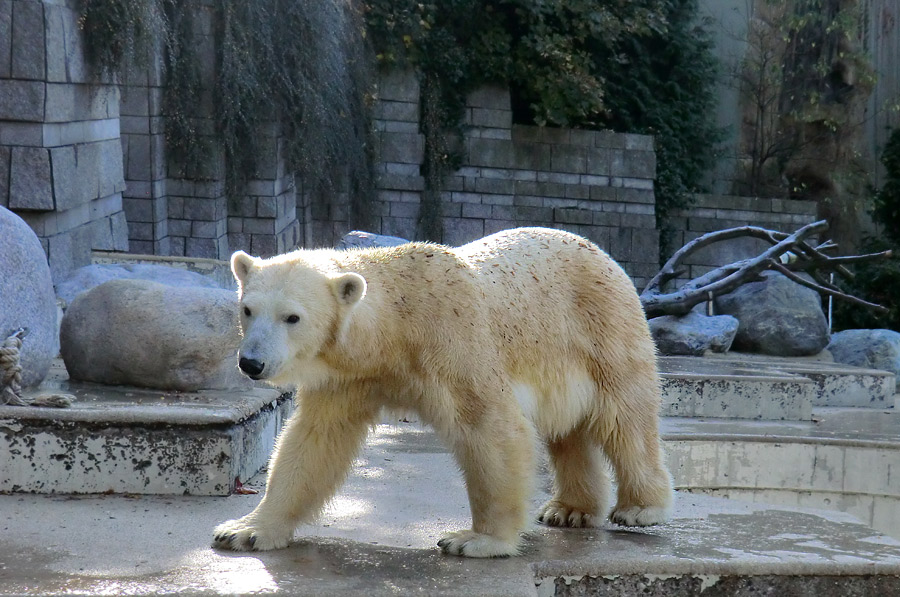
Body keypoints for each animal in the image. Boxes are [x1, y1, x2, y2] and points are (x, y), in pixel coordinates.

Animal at [213, 226, 676, 556]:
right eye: (247, 309)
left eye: (292, 317)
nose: (251, 363)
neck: (396, 326)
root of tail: (601, 253)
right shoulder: (350, 377)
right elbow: (313, 441)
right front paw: (245, 530)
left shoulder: (453, 343)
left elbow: (491, 427)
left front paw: (475, 540)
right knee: (569, 432)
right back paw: (570, 510)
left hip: (601, 330)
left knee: (624, 417)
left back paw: (639, 508)